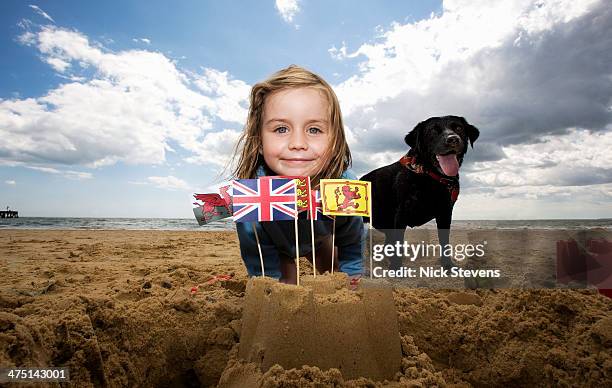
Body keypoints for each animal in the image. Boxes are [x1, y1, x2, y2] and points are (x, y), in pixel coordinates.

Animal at [360, 113, 480, 268]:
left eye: (458, 128)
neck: (430, 177)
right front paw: (396, 269)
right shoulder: (401, 215)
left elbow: (444, 243)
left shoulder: (445, 213)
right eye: (433, 131)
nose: (453, 139)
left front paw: (448, 265)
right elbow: (397, 245)